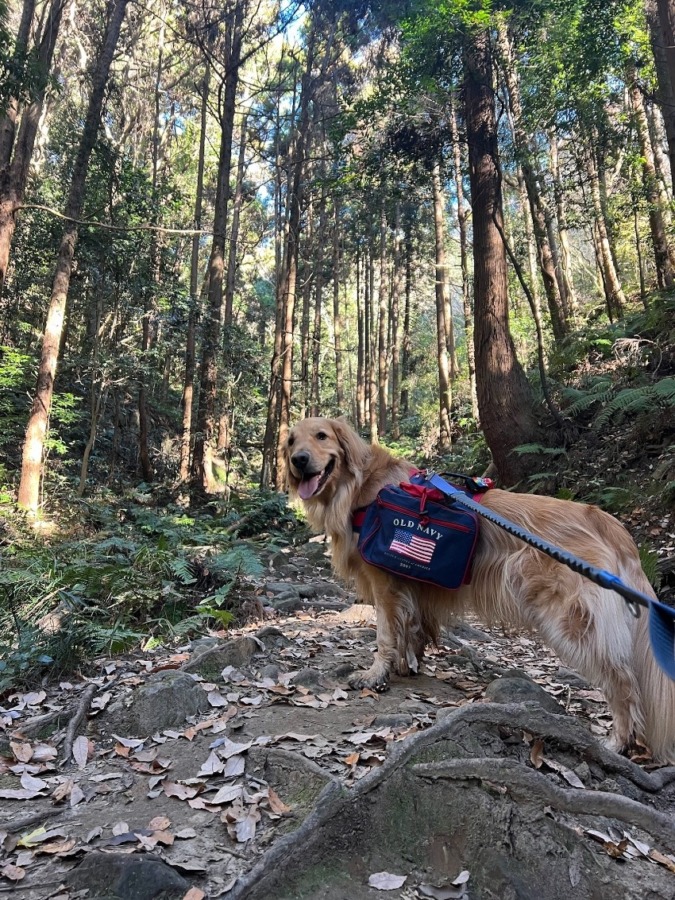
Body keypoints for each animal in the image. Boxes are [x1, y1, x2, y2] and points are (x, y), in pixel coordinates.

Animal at [286, 414, 675, 760]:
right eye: (291, 440)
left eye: (321, 436)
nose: (298, 460)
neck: (360, 487)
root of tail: (609, 523)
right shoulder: (413, 590)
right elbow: (412, 630)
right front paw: (407, 664)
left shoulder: (386, 586)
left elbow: (384, 635)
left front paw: (375, 674)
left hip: (574, 623)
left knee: (623, 682)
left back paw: (618, 741)